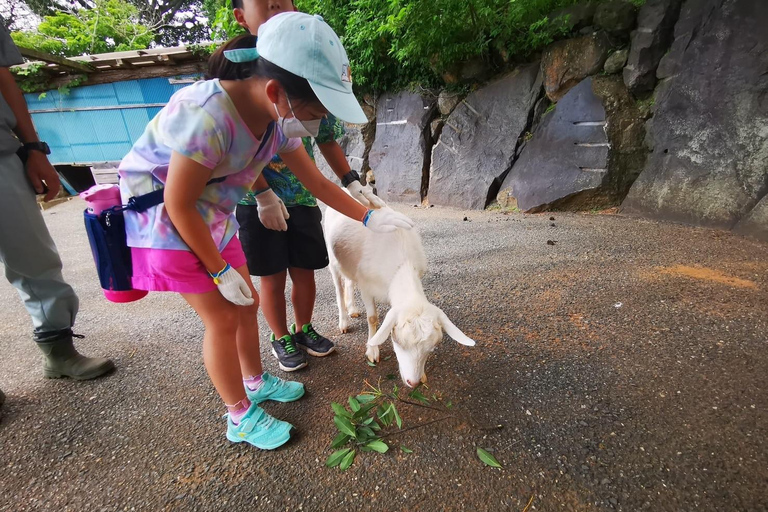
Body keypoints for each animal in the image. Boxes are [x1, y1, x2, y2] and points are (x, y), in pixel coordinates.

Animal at [322, 202, 474, 386]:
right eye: (398, 343)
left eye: (431, 349)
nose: (413, 382)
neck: (402, 265)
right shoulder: (366, 286)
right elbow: (372, 318)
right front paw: (372, 350)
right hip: (332, 258)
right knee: (339, 288)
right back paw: (344, 321)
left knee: (349, 281)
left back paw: (353, 309)